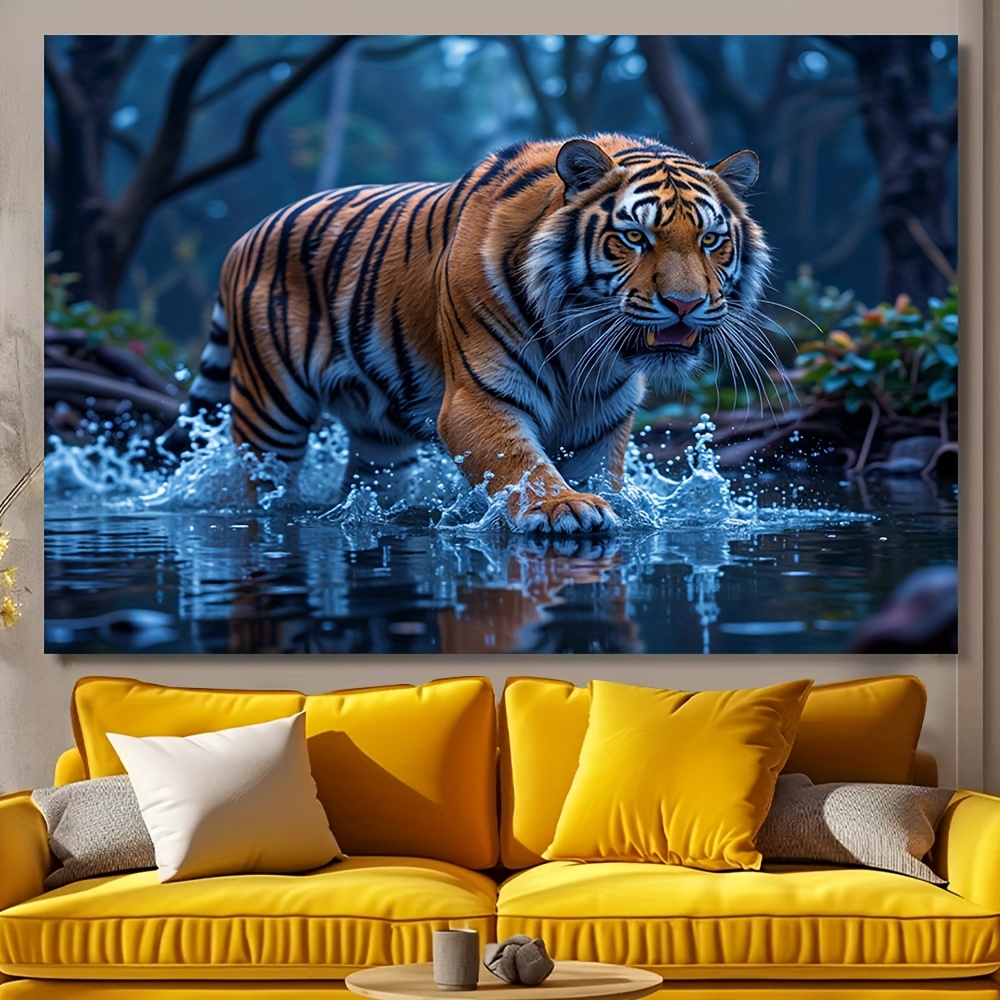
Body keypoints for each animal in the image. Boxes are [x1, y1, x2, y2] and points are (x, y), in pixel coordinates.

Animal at [166, 133, 770, 533]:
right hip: (269, 410)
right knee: (260, 480)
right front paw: (563, 507)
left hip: (378, 438)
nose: (685, 305)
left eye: (711, 241)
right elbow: (521, 463)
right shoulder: (477, 399)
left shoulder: (601, 417)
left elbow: (599, 474)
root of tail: (245, 235)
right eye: (635, 237)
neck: (582, 342)